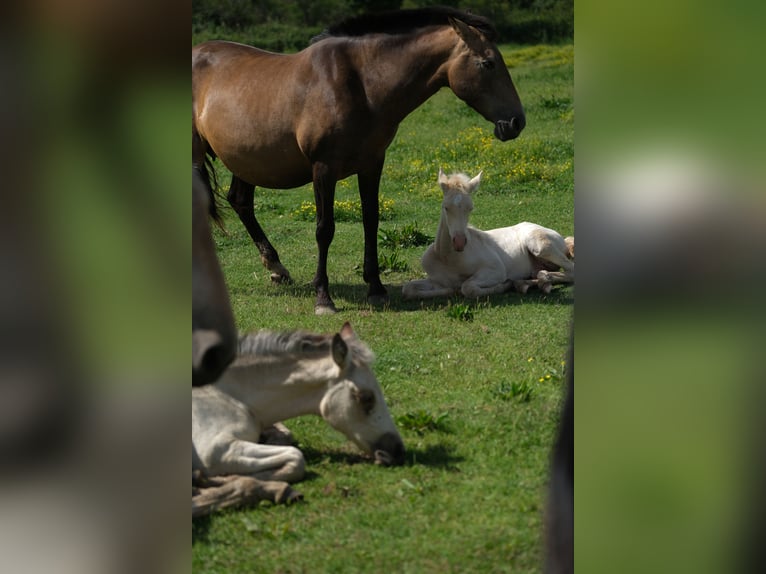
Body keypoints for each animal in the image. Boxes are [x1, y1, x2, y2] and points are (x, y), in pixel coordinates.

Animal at [192, 7, 526, 315]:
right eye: (487, 63)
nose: (516, 122)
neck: (360, 85)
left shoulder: (371, 165)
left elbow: (371, 219)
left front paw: (376, 288)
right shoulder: (323, 169)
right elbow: (324, 229)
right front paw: (323, 298)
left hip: (247, 161)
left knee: (240, 201)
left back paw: (276, 267)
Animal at [401, 170, 574, 299]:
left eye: (470, 208)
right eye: (445, 207)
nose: (459, 242)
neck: (449, 259)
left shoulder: (496, 270)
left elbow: (468, 287)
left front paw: (503, 286)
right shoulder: (436, 280)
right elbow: (408, 289)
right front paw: (450, 291)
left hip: (540, 246)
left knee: (570, 270)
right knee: (541, 272)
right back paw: (526, 283)